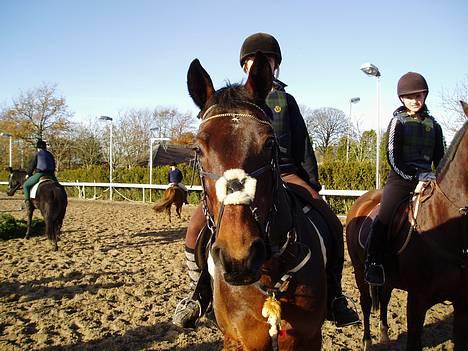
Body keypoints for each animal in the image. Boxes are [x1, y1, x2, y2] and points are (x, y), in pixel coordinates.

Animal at [186, 53, 326, 351]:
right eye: (197, 150)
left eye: (270, 143)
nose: (239, 259)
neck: (269, 275)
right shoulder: (237, 340)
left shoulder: (310, 338)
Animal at [346, 121, 468, 351]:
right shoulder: (417, 300)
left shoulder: (462, 302)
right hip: (359, 271)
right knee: (366, 303)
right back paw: (367, 340)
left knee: (384, 297)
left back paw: (384, 333)